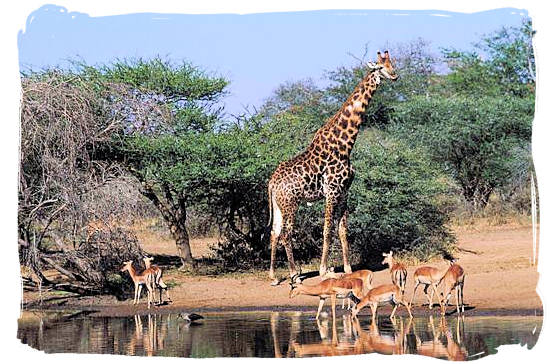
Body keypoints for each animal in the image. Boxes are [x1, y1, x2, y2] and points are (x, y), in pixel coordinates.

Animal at [268, 49, 402, 286]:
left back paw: (274, 276)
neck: (346, 144)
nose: (394, 75)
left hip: (278, 205)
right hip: (291, 204)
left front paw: (347, 268)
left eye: (391, 64)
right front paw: (324, 269)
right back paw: (295, 275)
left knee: (274, 232)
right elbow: (327, 229)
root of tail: (272, 183)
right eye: (380, 67)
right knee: (286, 234)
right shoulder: (331, 191)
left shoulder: (344, 191)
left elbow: (342, 229)